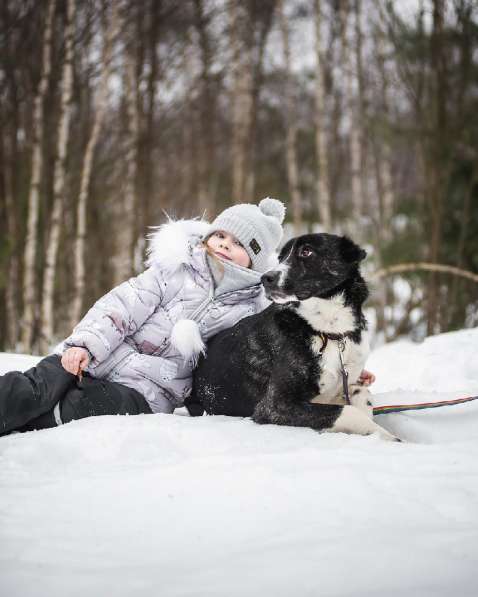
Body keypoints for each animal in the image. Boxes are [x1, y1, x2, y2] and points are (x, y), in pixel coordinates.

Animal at [187, 233, 400, 442]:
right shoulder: (273, 406)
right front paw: (386, 436)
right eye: (281, 257)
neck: (328, 331)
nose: (266, 278)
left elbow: (364, 398)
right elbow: (348, 411)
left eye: (306, 251)